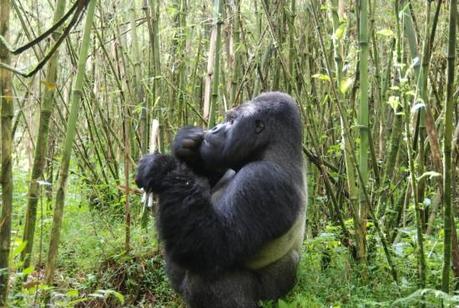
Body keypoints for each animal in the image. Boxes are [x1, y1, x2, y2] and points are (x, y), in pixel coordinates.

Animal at [137, 92, 310, 308]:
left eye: (232, 120)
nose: (214, 128)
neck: (273, 151)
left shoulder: (262, 179)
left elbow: (214, 244)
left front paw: (162, 168)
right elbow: (210, 176)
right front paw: (186, 143)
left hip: (272, 297)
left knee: (206, 275)